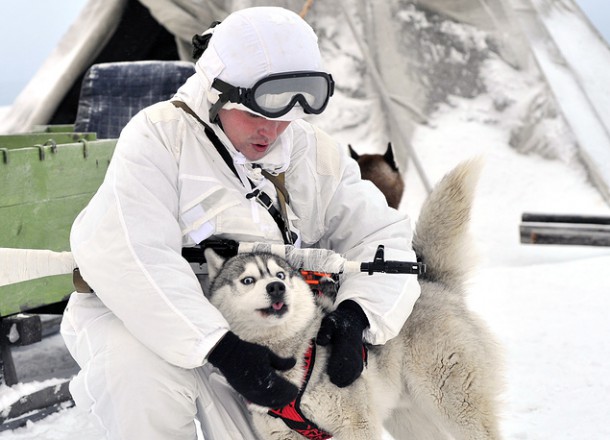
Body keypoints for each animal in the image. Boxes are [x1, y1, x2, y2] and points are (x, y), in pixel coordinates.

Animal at [204, 159, 498, 440]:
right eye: (247, 280)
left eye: (280, 274)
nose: (277, 287)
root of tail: (433, 282)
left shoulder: (356, 425)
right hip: (407, 418)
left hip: (455, 406)